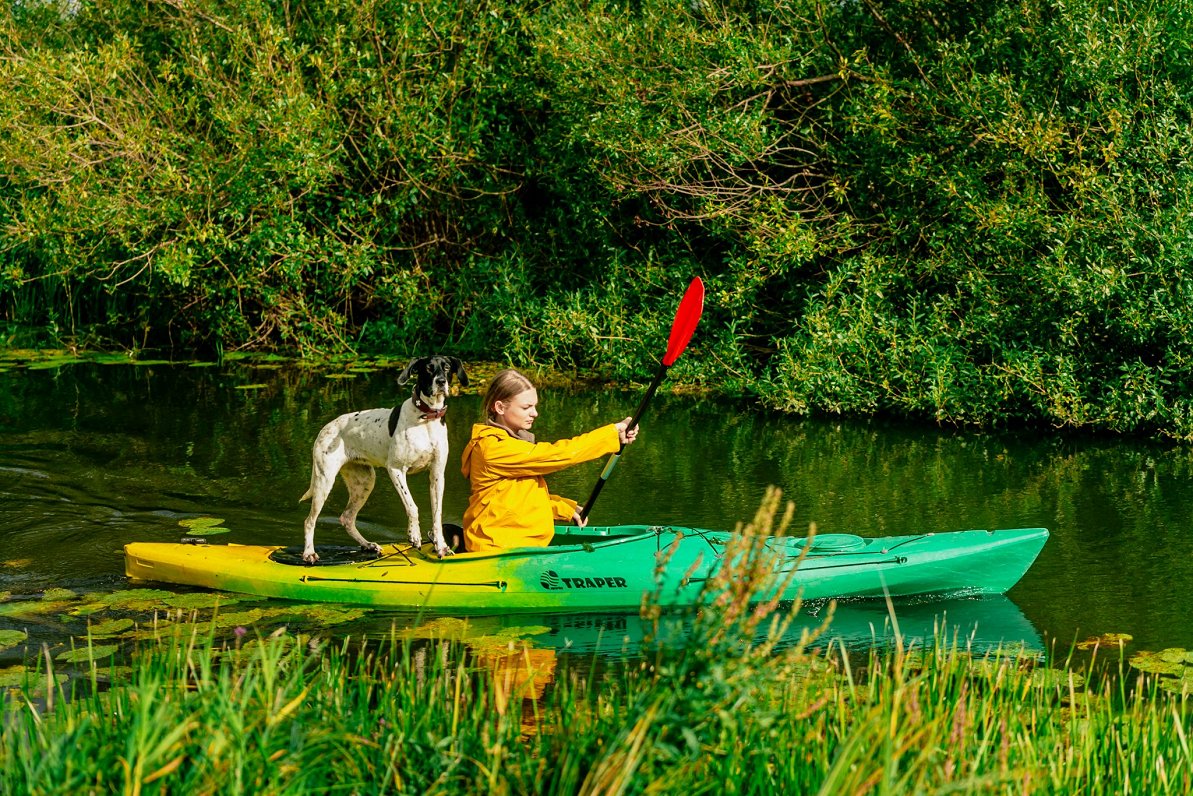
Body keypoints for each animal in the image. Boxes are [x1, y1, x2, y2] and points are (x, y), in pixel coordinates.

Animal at [300, 355, 467, 565]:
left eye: (446, 367)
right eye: (428, 368)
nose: (441, 382)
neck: (426, 419)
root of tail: (326, 427)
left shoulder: (437, 475)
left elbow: (437, 514)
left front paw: (441, 546)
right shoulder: (396, 470)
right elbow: (412, 506)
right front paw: (414, 535)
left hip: (364, 482)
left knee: (347, 518)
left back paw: (368, 545)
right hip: (324, 481)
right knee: (310, 520)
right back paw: (309, 553)